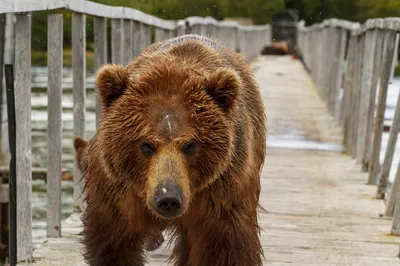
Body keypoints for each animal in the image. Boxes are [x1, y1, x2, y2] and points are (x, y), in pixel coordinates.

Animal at [81, 34, 268, 264]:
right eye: (146, 145)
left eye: (190, 145)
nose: (168, 199)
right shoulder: (118, 191)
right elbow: (114, 242)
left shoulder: (223, 191)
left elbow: (225, 247)